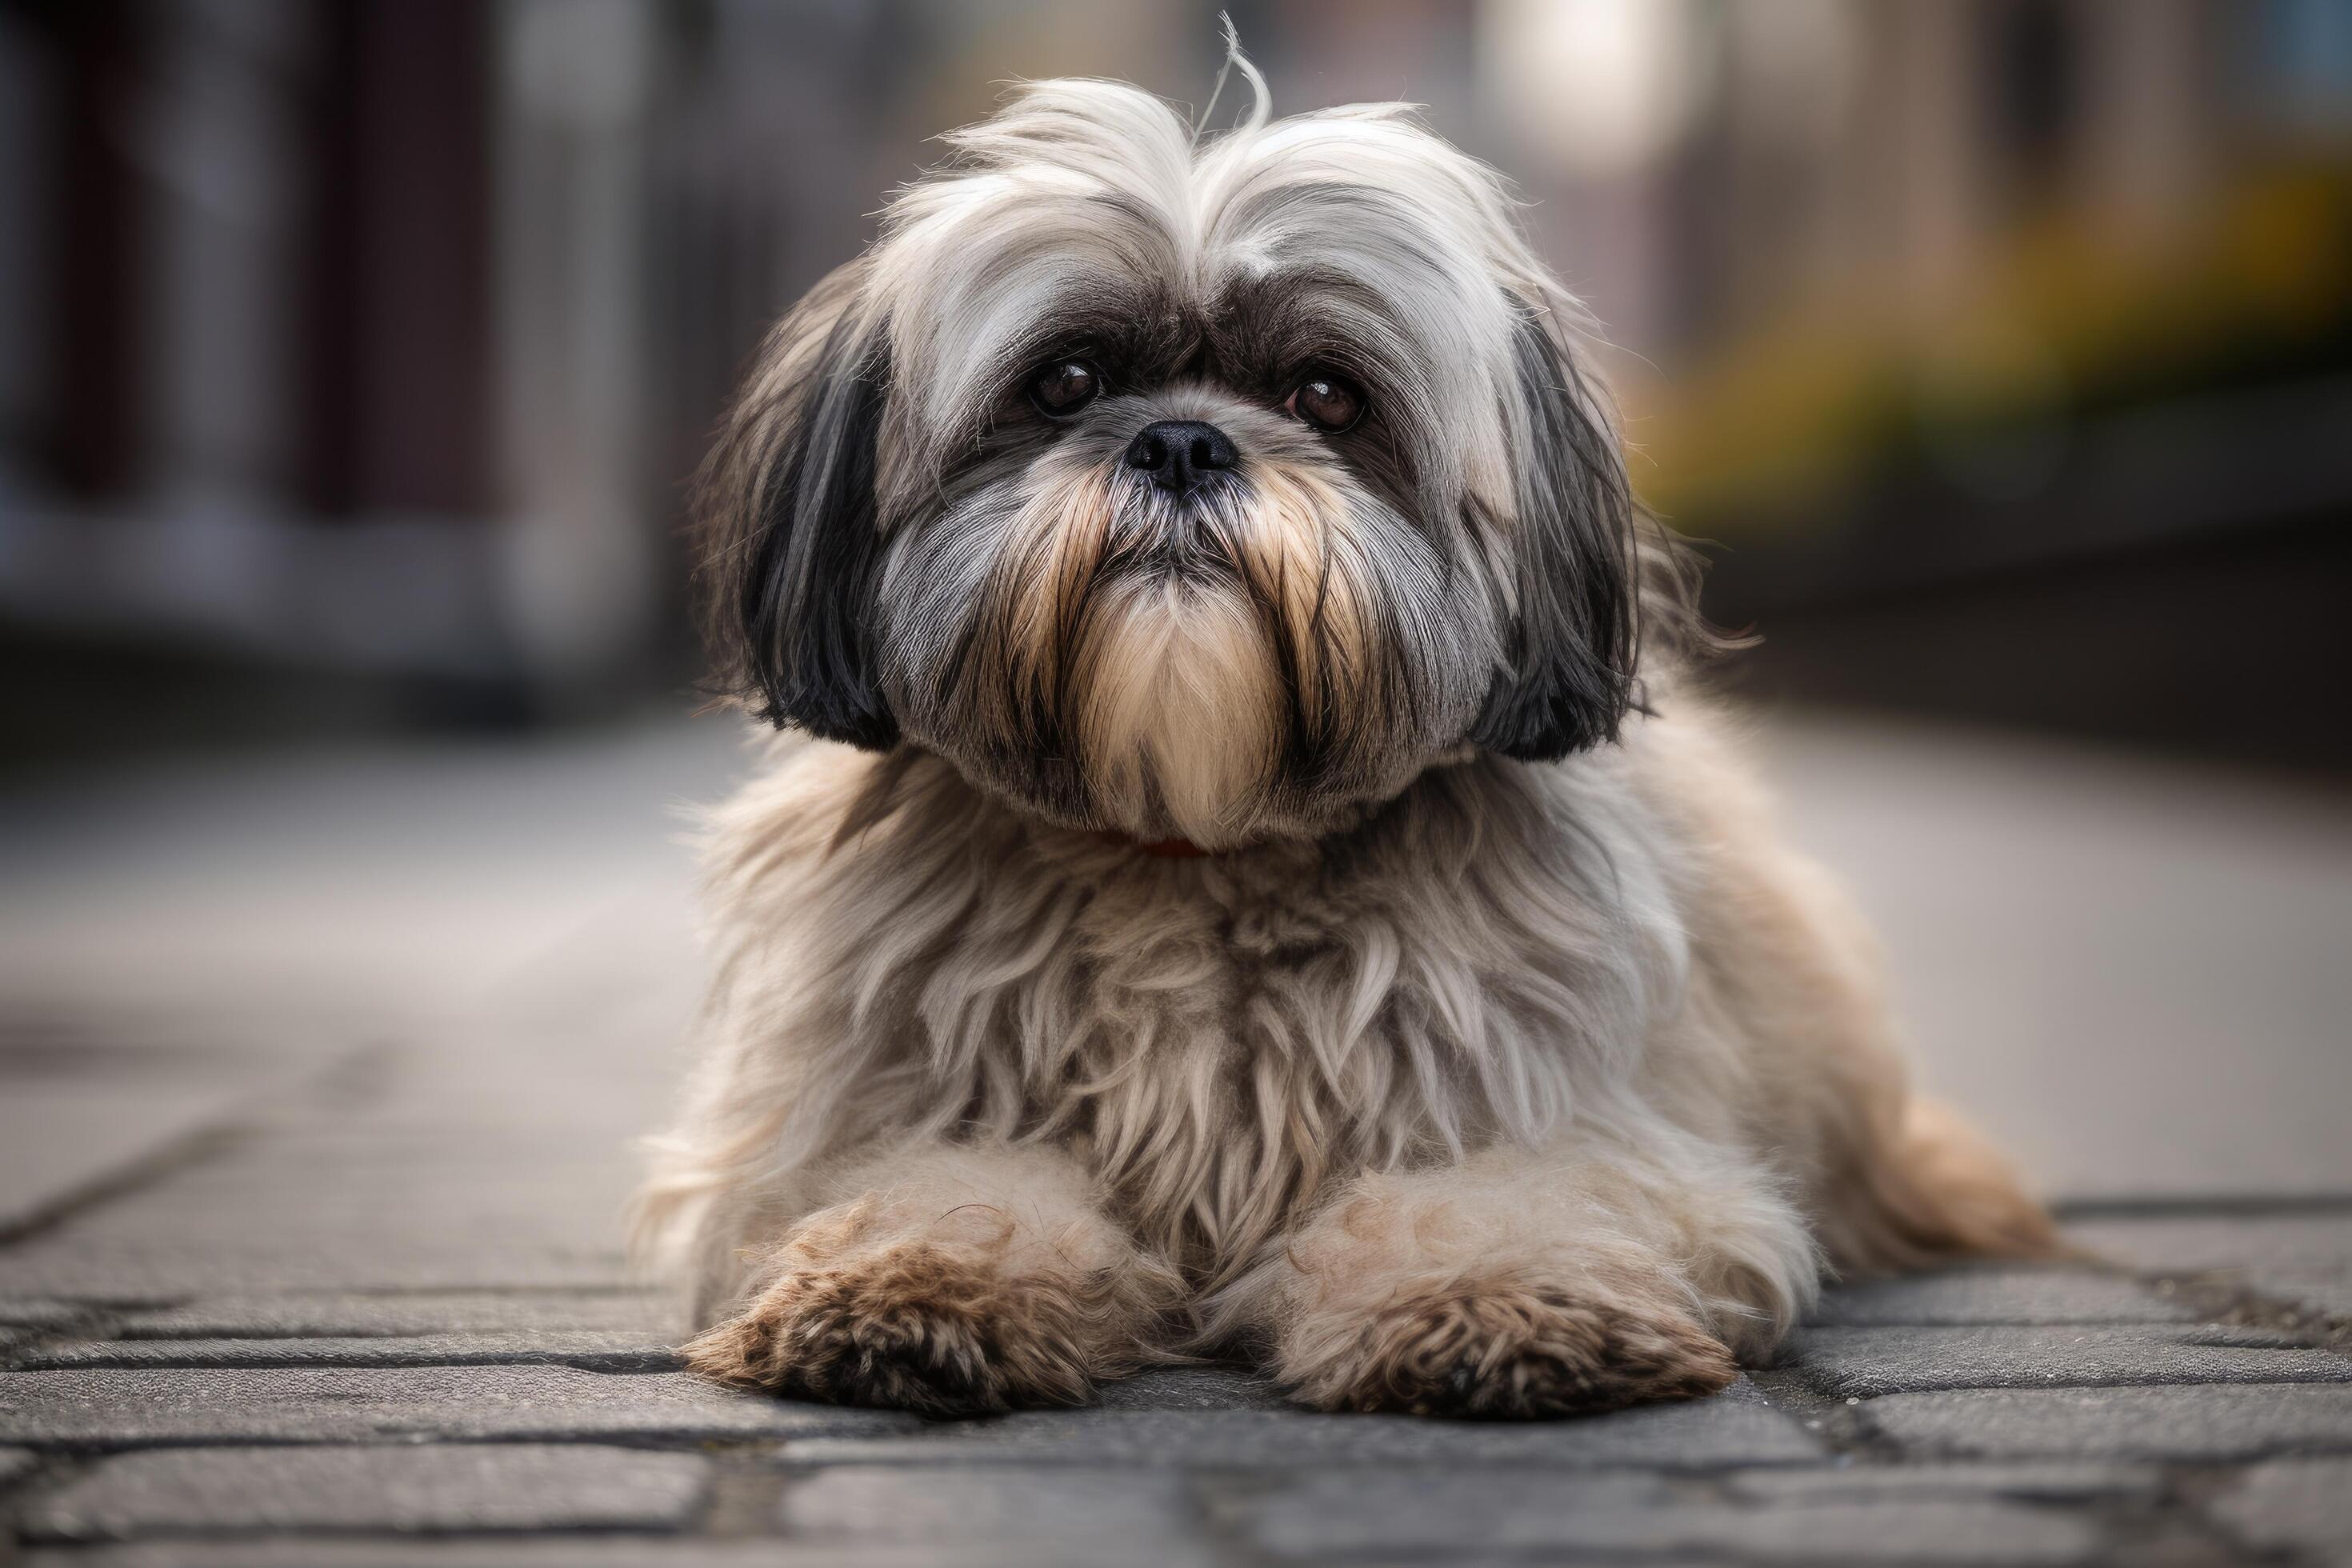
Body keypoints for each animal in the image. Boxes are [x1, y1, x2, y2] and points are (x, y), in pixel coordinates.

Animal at [634, 49, 2050, 1419]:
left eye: (1326, 395)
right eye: (1068, 382)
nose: (1183, 442)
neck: (1193, 841)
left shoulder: (1574, 1120)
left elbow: (1492, 1193)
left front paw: (1496, 1300)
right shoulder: (831, 1133)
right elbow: (942, 1179)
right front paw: (917, 1283)